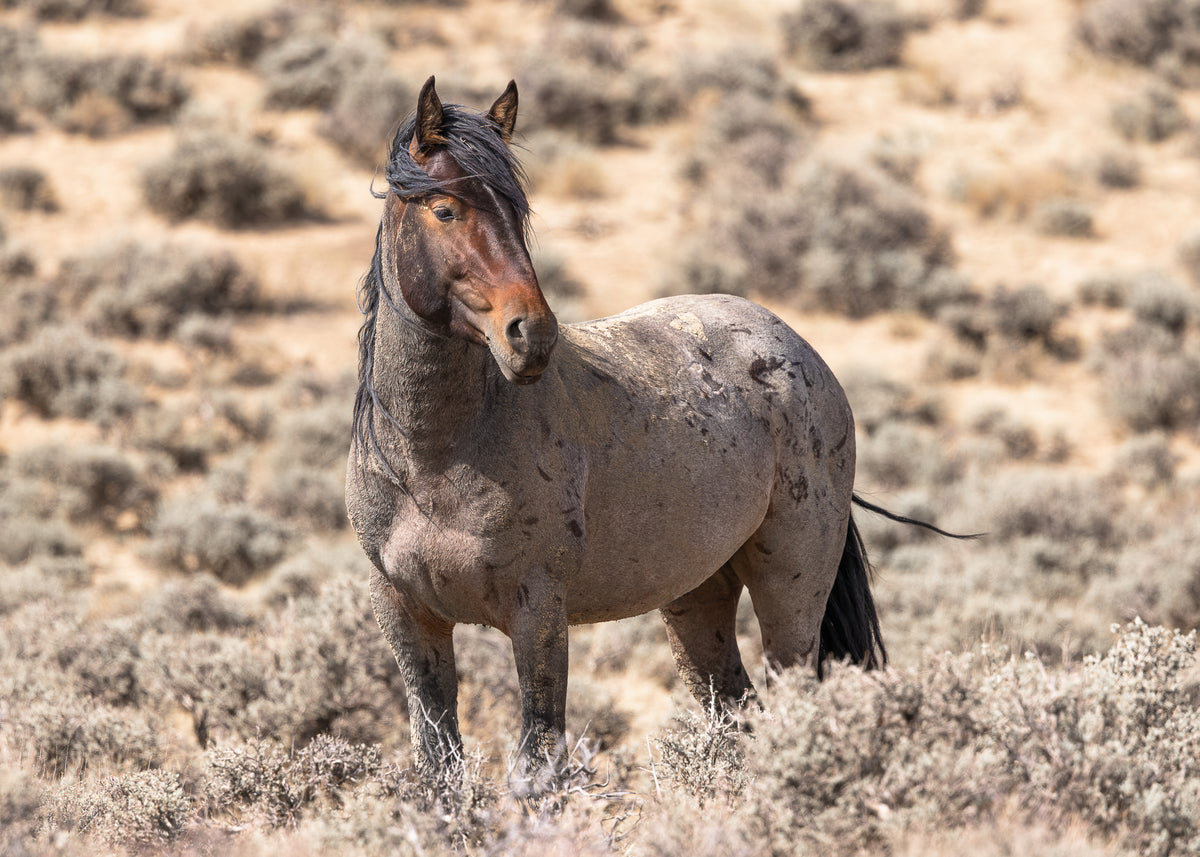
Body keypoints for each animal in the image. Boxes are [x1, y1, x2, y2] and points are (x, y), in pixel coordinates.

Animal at [346, 77, 959, 796]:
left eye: (518, 213)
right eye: (445, 210)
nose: (533, 335)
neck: (434, 459)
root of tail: (801, 352)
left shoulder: (538, 612)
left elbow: (537, 762)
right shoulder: (407, 615)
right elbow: (438, 763)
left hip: (791, 586)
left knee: (792, 698)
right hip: (697, 597)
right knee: (735, 707)